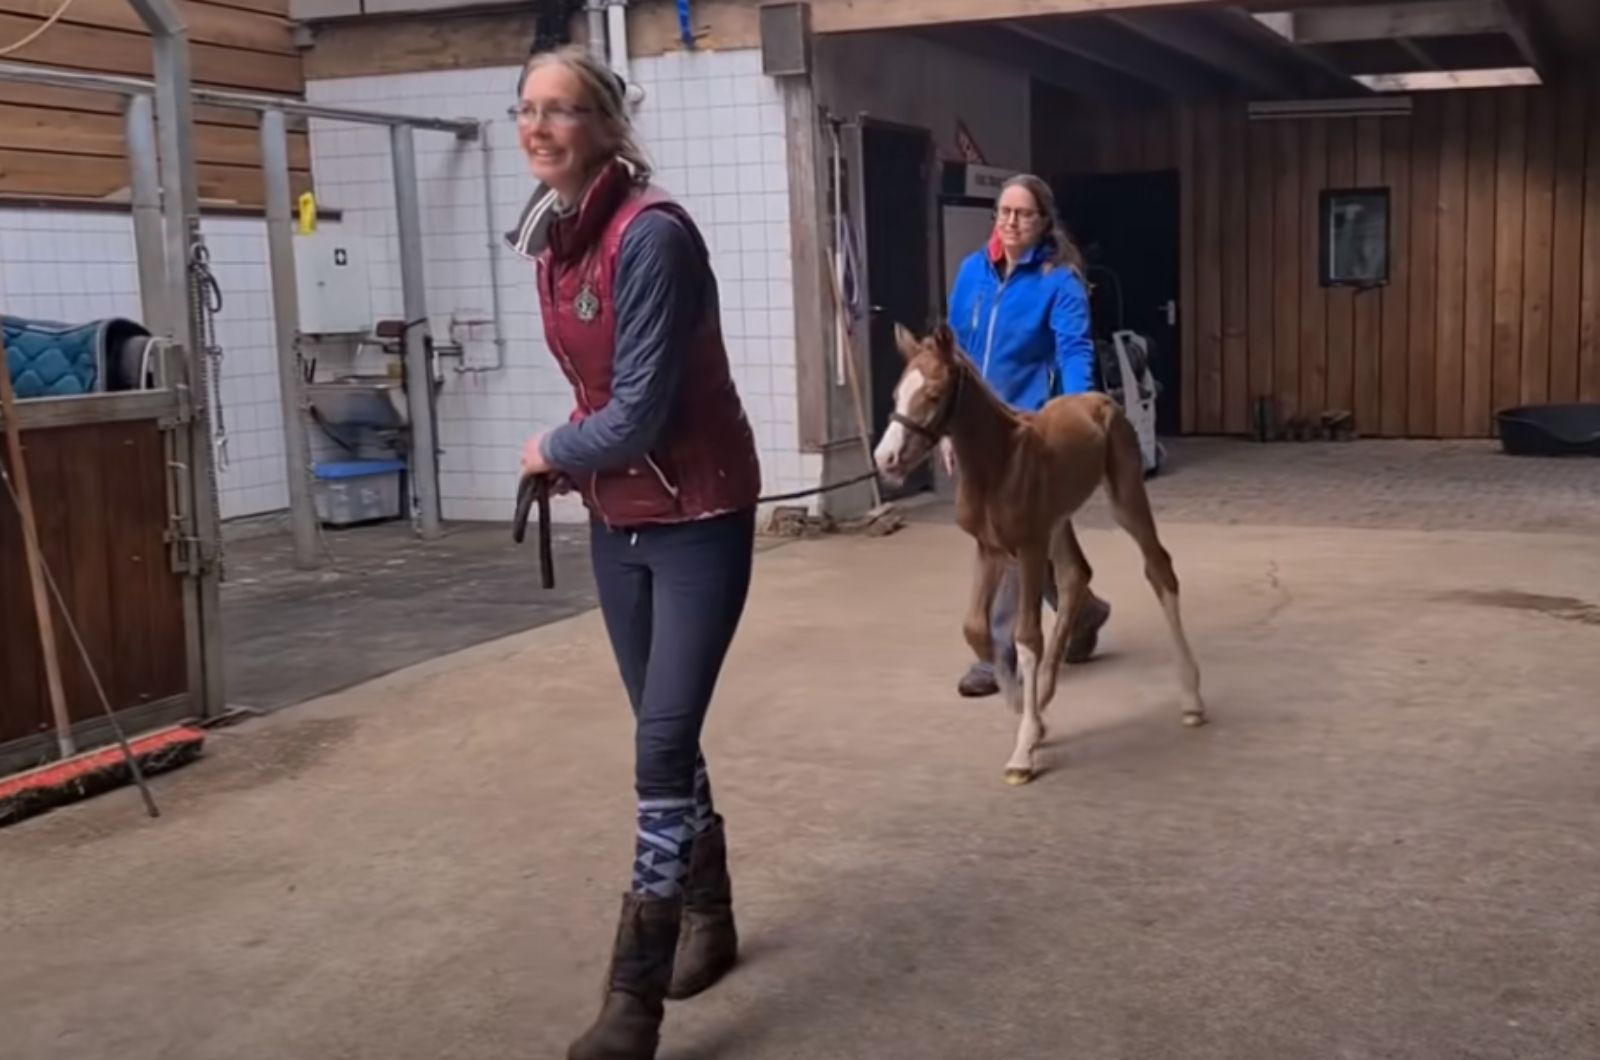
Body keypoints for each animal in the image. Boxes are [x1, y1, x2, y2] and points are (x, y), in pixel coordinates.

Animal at [876, 326, 1203, 787]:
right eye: (897, 392)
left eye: (935, 394)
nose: (885, 459)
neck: (997, 462)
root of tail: (1100, 399)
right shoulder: (989, 549)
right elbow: (975, 628)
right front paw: (1024, 710)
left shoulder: (1028, 548)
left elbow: (1027, 637)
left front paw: (1022, 749)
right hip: (1058, 520)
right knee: (1075, 575)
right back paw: (1048, 690)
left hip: (1124, 497)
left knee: (1158, 568)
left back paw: (1191, 698)